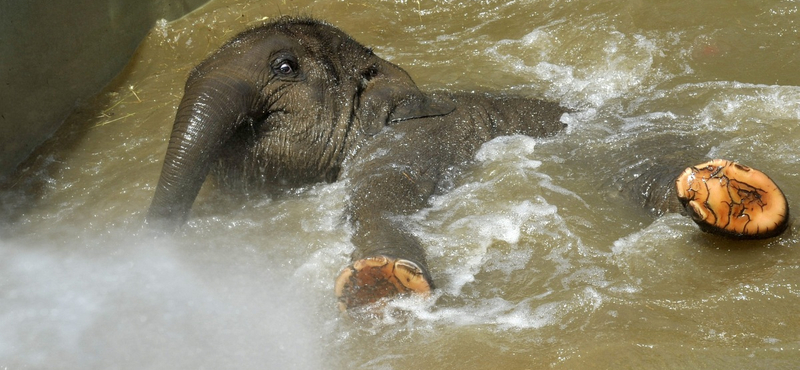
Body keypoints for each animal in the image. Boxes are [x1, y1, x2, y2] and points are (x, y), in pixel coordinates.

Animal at [147, 16, 792, 312]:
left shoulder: (404, 144)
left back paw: (730, 192)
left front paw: (381, 277)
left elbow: (384, 188)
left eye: (284, 67)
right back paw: (732, 198)